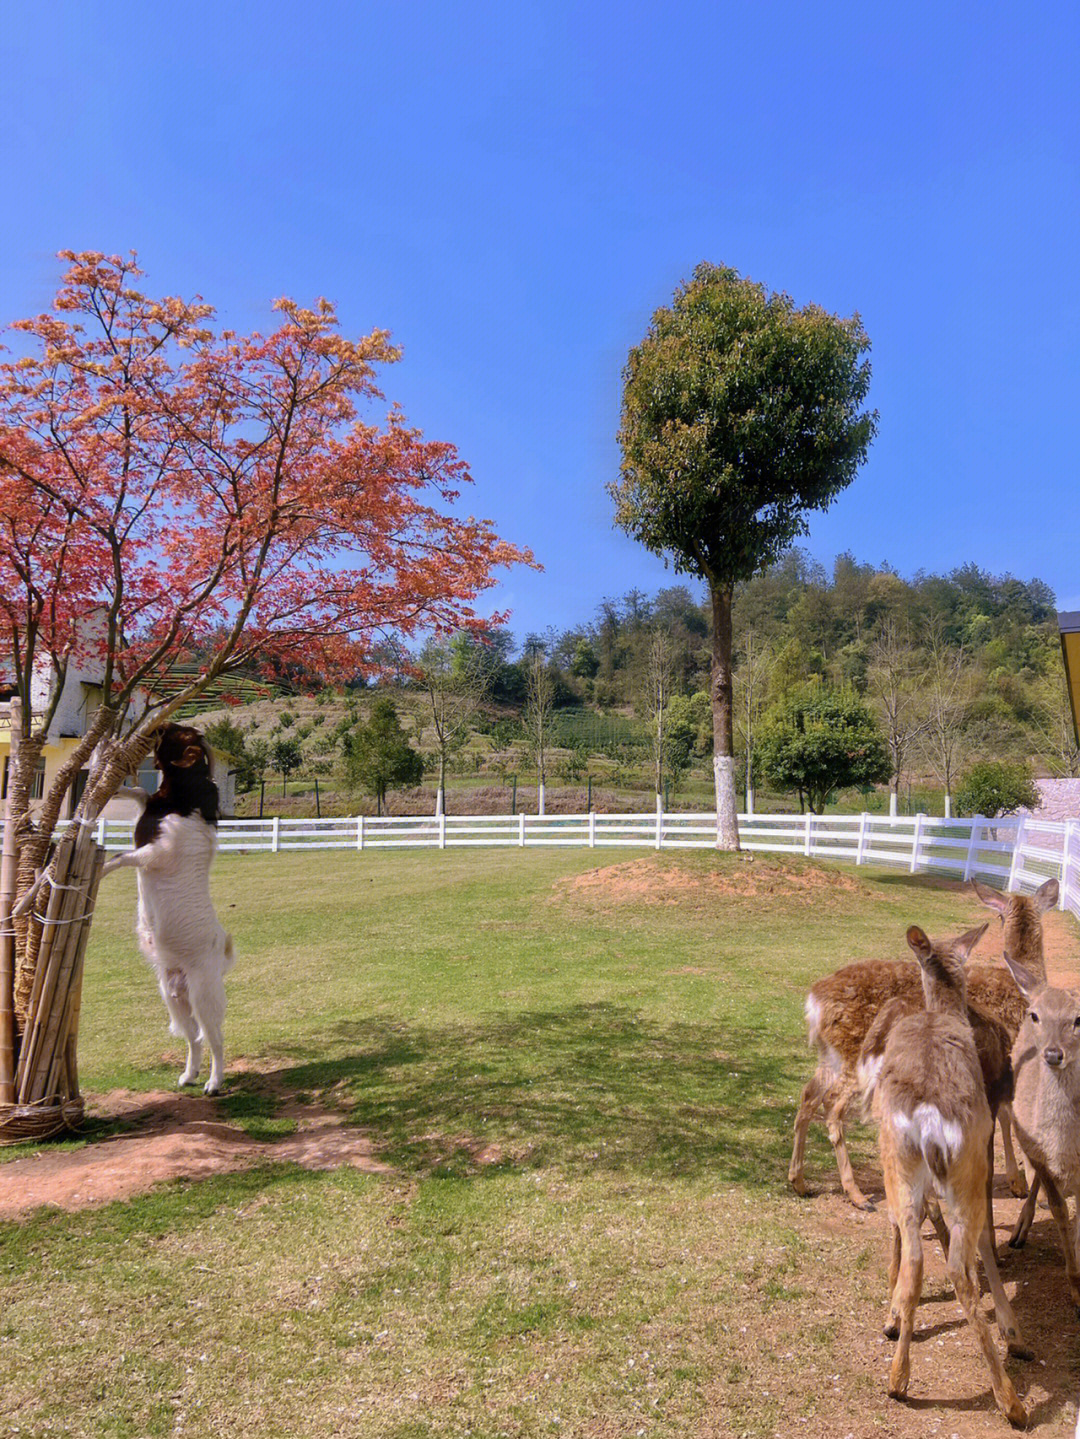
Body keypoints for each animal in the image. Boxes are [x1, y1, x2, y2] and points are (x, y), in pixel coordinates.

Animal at [102, 725, 235, 1093]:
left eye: (182, 734)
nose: (158, 727)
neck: (183, 802)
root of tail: (222, 951)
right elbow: (137, 792)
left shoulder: (156, 852)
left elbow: (120, 856)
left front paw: (97, 870)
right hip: (174, 996)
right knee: (194, 1038)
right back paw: (188, 1076)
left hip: (204, 995)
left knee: (215, 1037)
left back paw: (213, 1083)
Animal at [788, 874, 1058, 1203]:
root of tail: (814, 1000)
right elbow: (1014, 1116)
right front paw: (1027, 1184)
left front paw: (1017, 1182)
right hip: (854, 1055)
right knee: (833, 1105)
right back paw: (856, 1193)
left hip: (831, 1055)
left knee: (808, 1095)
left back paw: (799, 1181)